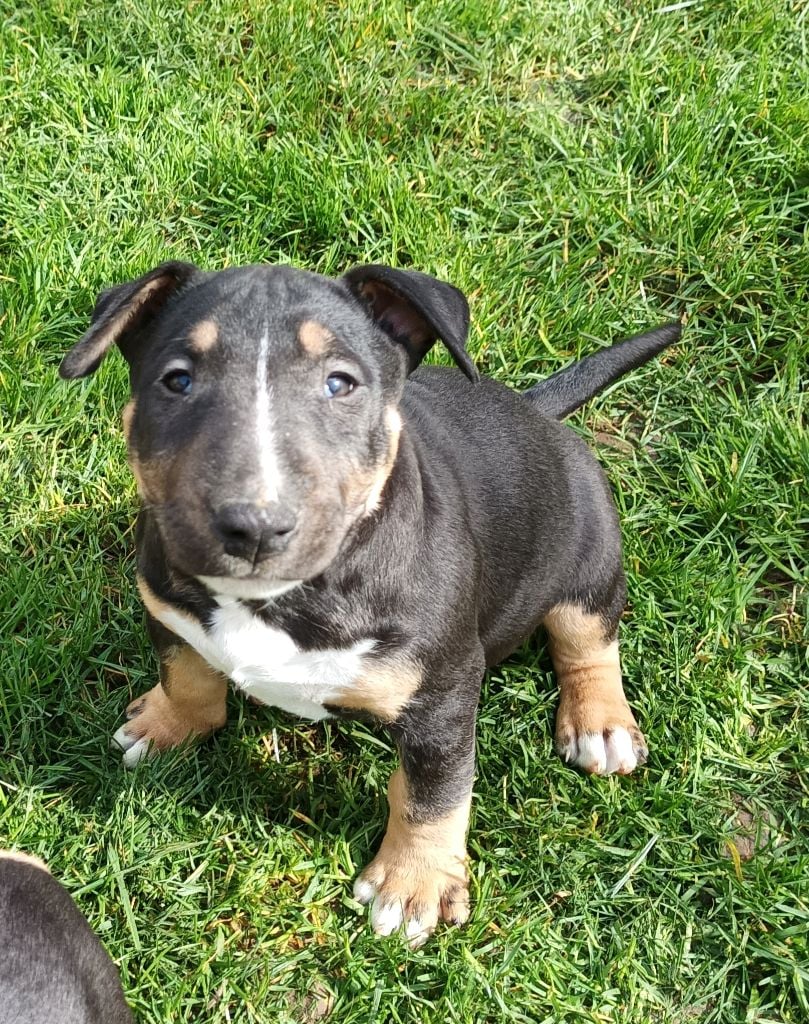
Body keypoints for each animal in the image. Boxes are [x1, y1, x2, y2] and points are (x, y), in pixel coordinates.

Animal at [60, 261, 679, 946]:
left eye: (340, 383)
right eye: (177, 380)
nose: (254, 526)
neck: (286, 596)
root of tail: (536, 411)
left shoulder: (442, 693)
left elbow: (433, 792)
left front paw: (412, 886)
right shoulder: (167, 607)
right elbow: (187, 673)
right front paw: (166, 726)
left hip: (587, 552)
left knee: (588, 639)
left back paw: (601, 724)